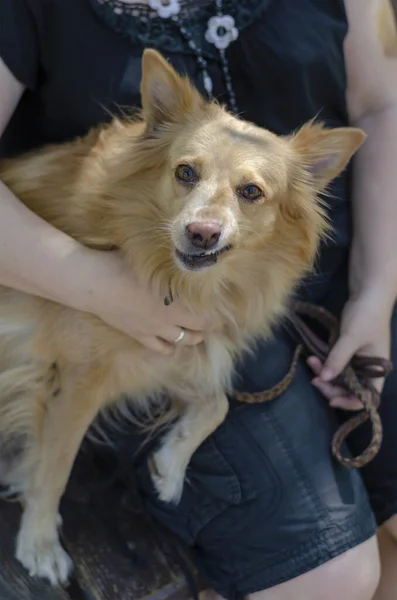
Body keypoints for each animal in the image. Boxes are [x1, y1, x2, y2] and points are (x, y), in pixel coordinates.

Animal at [0, 51, 362, 584]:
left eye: (251, 192)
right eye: (186, 173)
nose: (201, 233)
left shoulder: (179, 352)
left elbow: (218, 403)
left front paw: (170, 464)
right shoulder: (75, 378)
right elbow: (54, 465)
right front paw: (40, 541)